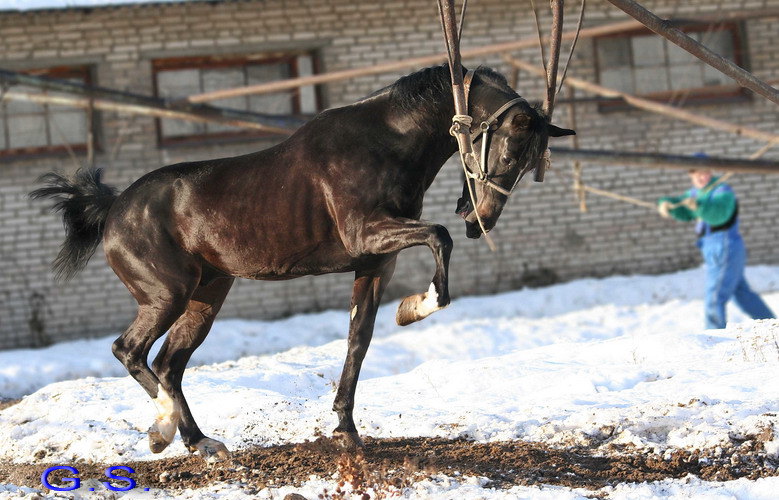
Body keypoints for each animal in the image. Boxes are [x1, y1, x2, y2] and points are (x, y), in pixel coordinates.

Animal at [33, 64, 572, 462]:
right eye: (510, 153)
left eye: (531, 165)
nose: (480, 220)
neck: (384, 140)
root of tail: (113, 206)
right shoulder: (368, 232)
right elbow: (438, 237)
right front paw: (418, 306)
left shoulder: (375, 263)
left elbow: (358, 342)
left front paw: (347, 431)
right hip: (167, 294)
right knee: (130, 351)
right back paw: (163, 432)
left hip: (206, 297)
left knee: (168, 364)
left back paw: (202, 443)